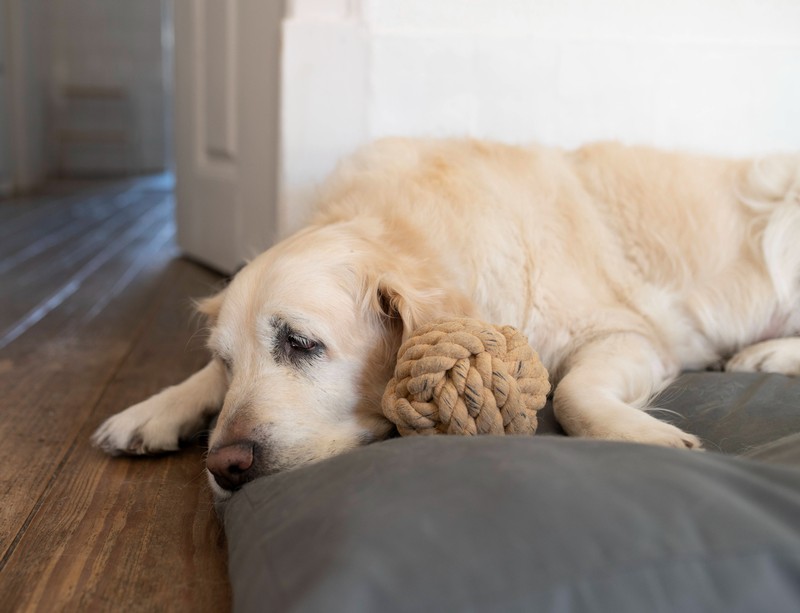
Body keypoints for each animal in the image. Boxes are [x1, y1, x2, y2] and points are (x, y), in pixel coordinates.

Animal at [90, 139, 796, 498]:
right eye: (227, 360)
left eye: (301, 342)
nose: (225, 466)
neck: (416, 232)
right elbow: (198, 383)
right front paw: (154, 409)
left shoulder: (627, 332)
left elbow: (573, 392)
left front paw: (643, 436)